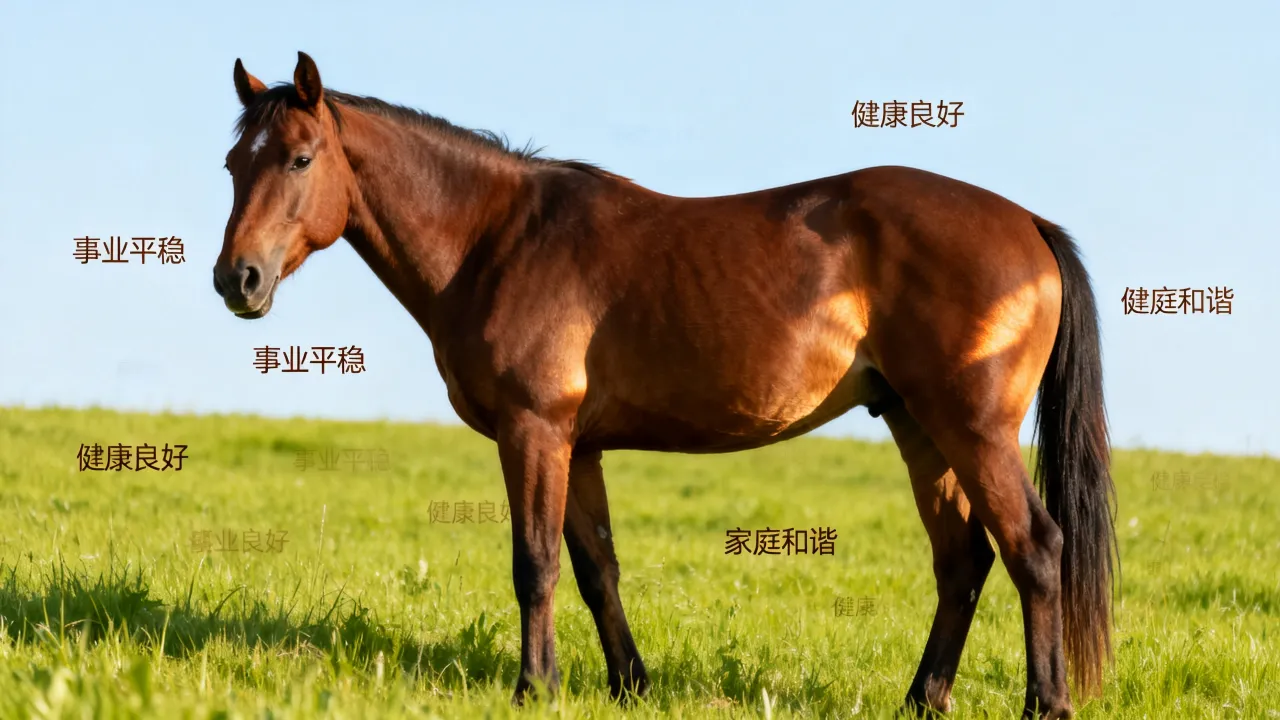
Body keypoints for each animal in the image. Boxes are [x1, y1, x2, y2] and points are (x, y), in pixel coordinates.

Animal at [213, 52, 1116, 719]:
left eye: (299, 158)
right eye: (232, 164)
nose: (237, 279)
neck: (495, 240)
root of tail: (1028, 223)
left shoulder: (534, 430)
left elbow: (534, 563)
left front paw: (533, 688)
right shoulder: (578, 447)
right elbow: (594, 567)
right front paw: (628, 685)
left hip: (972, 428)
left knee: (1035, 548)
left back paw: (1045, 704)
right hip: (919, 428)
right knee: (963, 560)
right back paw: (921, 700)